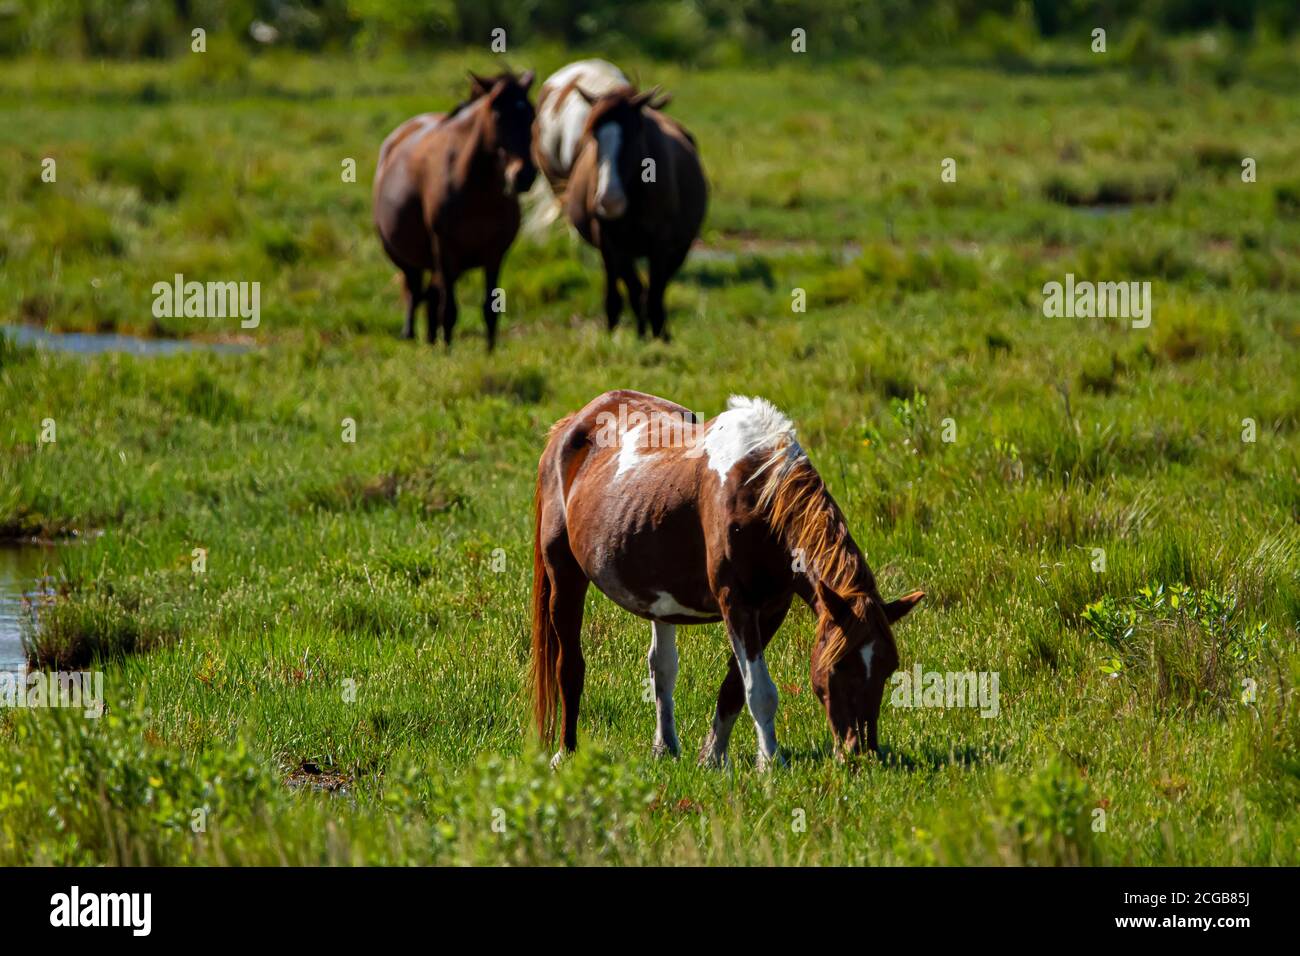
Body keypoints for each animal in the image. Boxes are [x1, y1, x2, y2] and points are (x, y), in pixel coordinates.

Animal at [373, 70, 536, 351]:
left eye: (532, 115)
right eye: (498, 116)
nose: (524, 175)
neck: (478, 193)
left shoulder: (495, 254)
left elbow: (489, 310)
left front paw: (489, 353)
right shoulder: (445, 249)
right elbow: (448, 310)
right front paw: (447, 352)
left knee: (431, 296)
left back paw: (430, 339)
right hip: (403, 255)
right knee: (415, 291)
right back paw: (412, 336)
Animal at [531, 389, 924, 769]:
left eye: (889, 667)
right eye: (839, 664)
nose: (862, 754)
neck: (759, 493)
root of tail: (571, 424)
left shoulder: (770, 610)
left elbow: (735, 686)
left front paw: (714, 757)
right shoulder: (736, 603)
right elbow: (759, 692)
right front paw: (771, 762)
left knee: (662, 668)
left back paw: (666, 747)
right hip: (564, 575)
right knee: (570, 666)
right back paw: (566, 751)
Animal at [562, 85, 707, 341]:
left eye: (632, 136)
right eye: (594, 137)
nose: (609, 200)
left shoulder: (663, 244)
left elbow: (654, 294)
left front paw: (660, 338)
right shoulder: (612, 243)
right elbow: (634, 290)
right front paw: (640, 337)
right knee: (618, 292)